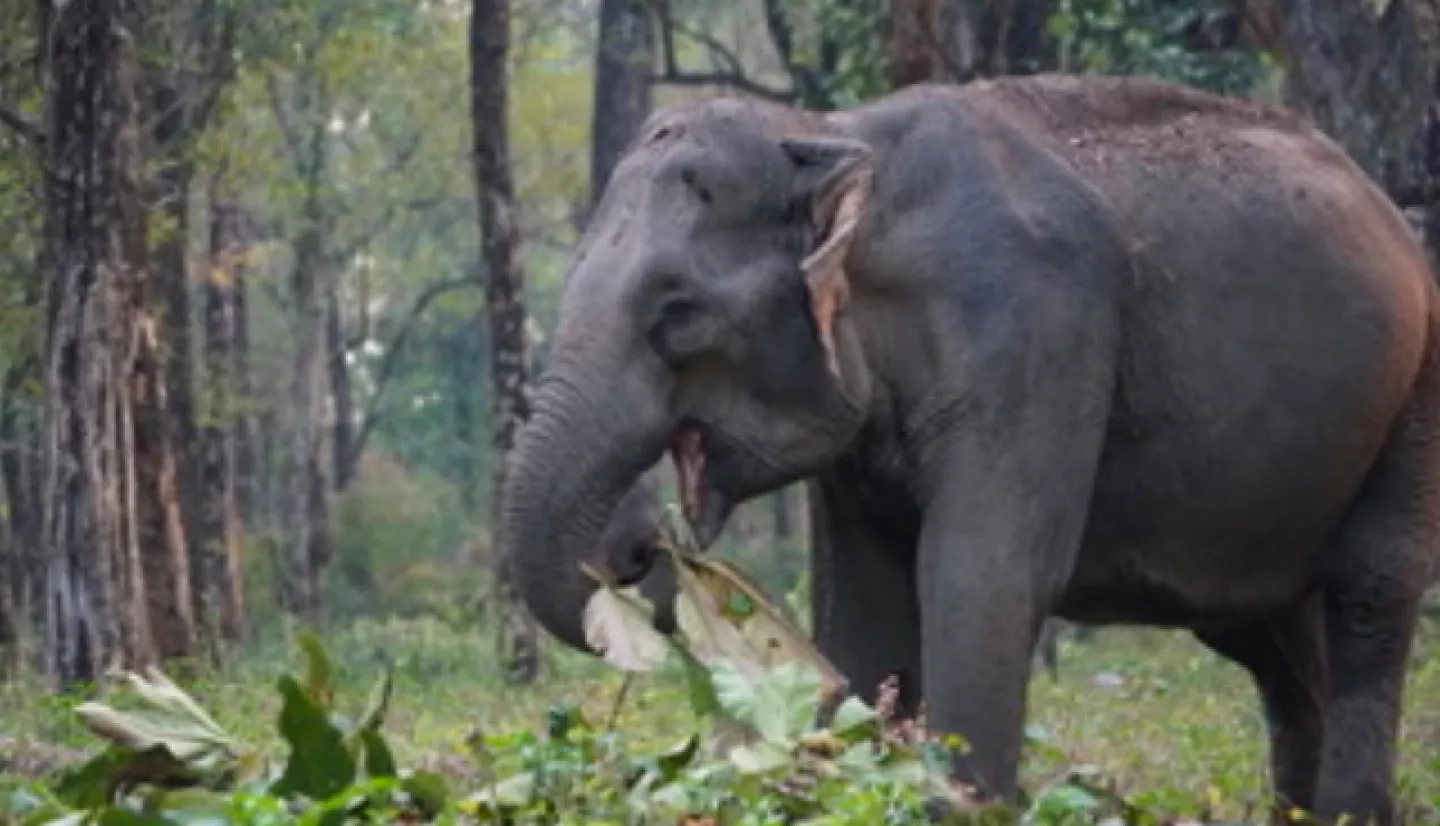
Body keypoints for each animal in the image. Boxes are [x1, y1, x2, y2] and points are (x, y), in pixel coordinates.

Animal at [498, 74, 1440, 823]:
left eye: (678, 311)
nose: (639, 538)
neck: (835, 135)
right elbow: (866, 605)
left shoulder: (1034, 335)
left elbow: (982, 579)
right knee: (1271, 641)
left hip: (1415, 392)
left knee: (1367, 594)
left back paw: (1351, 810)